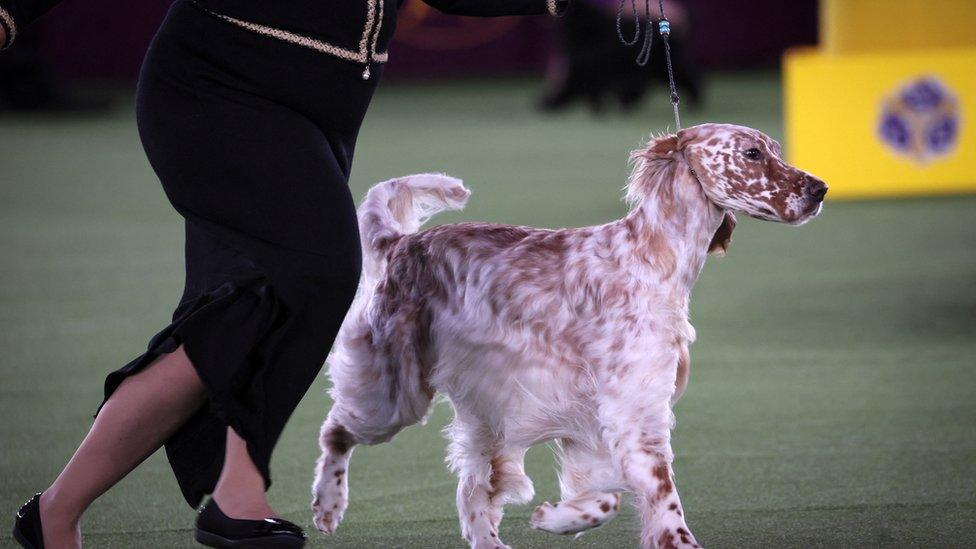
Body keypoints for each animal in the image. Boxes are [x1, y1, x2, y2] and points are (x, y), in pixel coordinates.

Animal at [310, 122, 824, 544]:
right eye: (752, 153)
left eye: (774, 149)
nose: (820, 188)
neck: (651, 257)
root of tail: (402, 243)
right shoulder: (632, 411)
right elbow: (659, 503)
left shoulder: (602, 419)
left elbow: (606, 496)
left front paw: (557, 517)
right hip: (397, 393)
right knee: (336, 429)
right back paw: (327, 506)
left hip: (481, 410)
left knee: (471, 490)